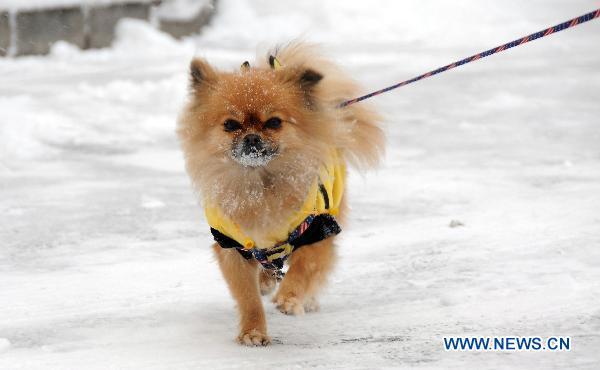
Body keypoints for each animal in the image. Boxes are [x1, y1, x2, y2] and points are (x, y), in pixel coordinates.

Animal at [178, 42, 384, 346]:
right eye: (230, 125)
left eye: (274, 122)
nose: (252, 137)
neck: (260, 186)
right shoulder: (232, 246)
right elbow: (248, 296)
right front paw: (253, 331)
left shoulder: (318, 229)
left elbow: (304, 267)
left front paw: (289, 298)